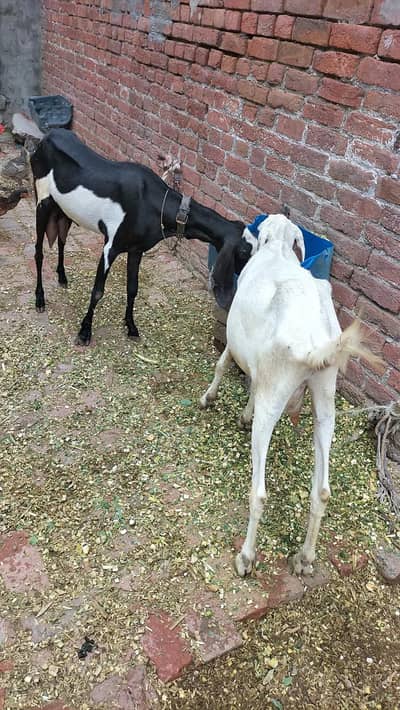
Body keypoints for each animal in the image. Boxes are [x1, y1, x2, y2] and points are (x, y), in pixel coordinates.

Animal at [30, 128, 250, 345]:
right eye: (244, 251)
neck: (152, 202)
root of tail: (46, 137)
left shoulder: (136, 249)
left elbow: (132, 288)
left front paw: (131, 327)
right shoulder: (111, 246)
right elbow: (98, 291)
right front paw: (85, 332)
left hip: (63, 210)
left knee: (61, 240)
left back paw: (62, 276)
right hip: (42, 201)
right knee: (38, 252)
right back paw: (40, 299)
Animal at [200, 214, 380, 577]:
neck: (279, 251)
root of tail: (311, 344)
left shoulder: (237, 342)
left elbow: (223, 362)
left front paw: (209, 398)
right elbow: (252, 382)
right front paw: (243, 412)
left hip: (277, 396)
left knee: (259, 493)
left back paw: (246, 558)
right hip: (325, 394)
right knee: (322, 491)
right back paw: (305, 558)